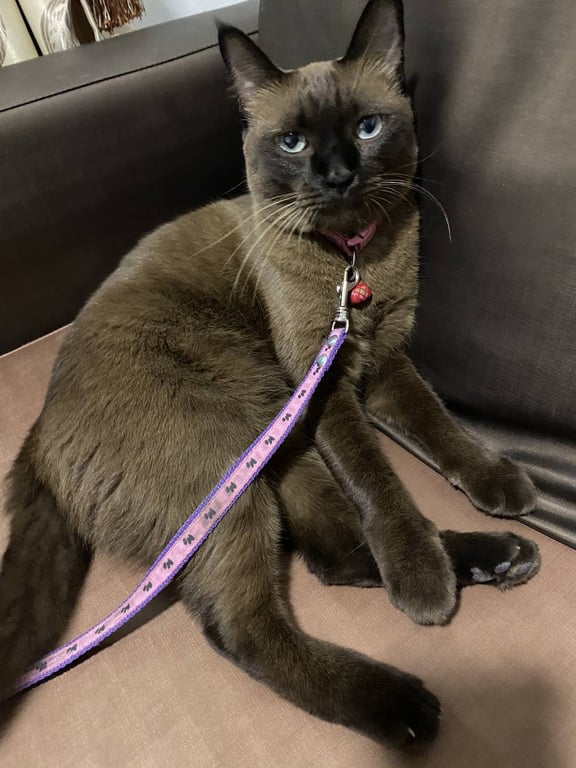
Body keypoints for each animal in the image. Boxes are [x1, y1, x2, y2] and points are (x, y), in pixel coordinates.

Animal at [0, 0, 540, 749]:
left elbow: (442, 428)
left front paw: (501, 483)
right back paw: (407, 703)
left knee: (332, 554)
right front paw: (422, 581)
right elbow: (381, 484)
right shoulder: (329, 389)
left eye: (367, 128)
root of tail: (38, 436)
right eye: (291, 143)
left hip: (278, 445)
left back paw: (504, 555)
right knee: (247, 628)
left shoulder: (384, 365)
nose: (337, 174)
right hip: (240, 449)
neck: (353, 263)